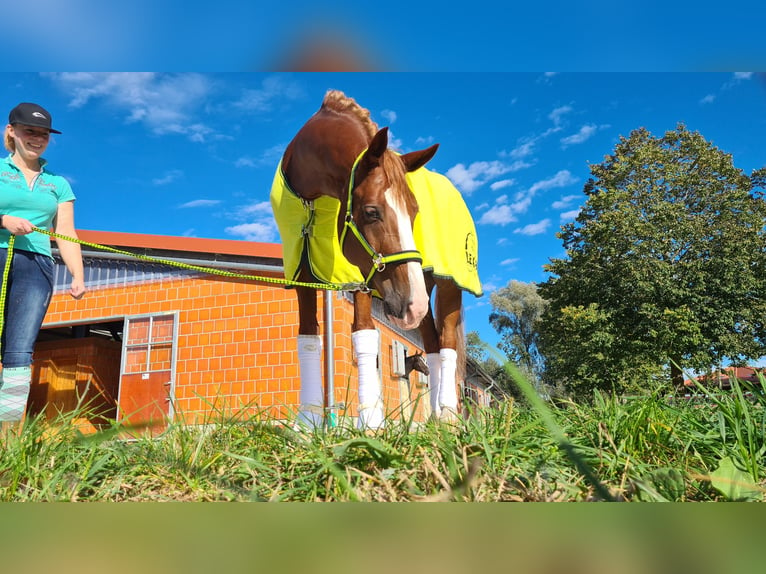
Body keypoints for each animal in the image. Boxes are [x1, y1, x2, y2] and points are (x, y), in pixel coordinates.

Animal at [272, 90, 484, 432]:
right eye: (372, 212)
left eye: (415, 211)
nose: (410, 306)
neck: (310, 200)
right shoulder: (303, 269)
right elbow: (308, 337)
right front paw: (307, 424)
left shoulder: (358, 273)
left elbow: (364, 335)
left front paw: (370, 421)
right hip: (418, 288)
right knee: (432, 345)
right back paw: (435, 420)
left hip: (442, 286)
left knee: (448, 344)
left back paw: (449, 414)